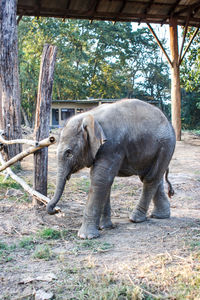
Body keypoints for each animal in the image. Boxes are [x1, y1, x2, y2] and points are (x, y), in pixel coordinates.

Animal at [47, 98, 175, 239]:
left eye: (69, 153)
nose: (56, 210)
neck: (90, 116)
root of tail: (168, 122)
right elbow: (105, 180)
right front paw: (105, 227)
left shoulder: (112, 146)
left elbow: (100, 179)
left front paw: (86, 236)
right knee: (155, 177)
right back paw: (160, 216)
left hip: (166, 146)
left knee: (150, 178)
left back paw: (135, 219)